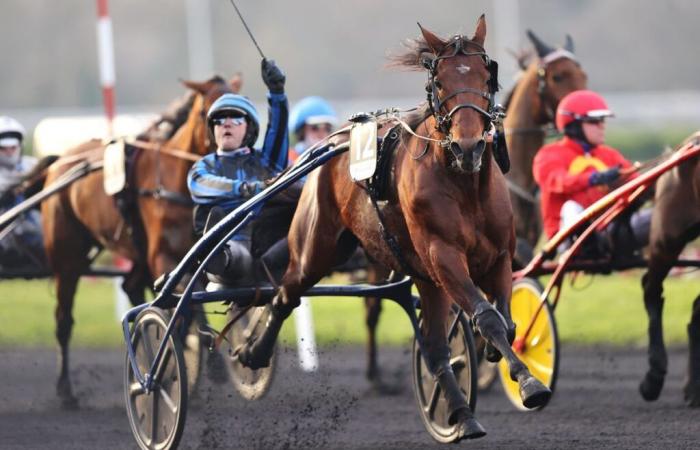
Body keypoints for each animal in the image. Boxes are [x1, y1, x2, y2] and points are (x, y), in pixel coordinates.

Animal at [41, 75, 238, 406]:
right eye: (205, 113)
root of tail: (60, 162)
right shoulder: (164, 256)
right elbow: (187, 301)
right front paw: (211, 366)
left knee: (131, 286)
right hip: (67, 258)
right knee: (63, 319)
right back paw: (65, 389)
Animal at [237, 15, 552, 438]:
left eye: (487, 76)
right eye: (440, 82)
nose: (469, 146)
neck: (464, 185)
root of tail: (335, 141)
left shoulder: (499, 256)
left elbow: (505, 319)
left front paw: (500, 359)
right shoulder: (444, 256)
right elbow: (487, 316)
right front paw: (530, 383)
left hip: (424, 277)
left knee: (434, 349)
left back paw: (461, 414)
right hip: (316, 247)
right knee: (286, 293)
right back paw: (253, 352)